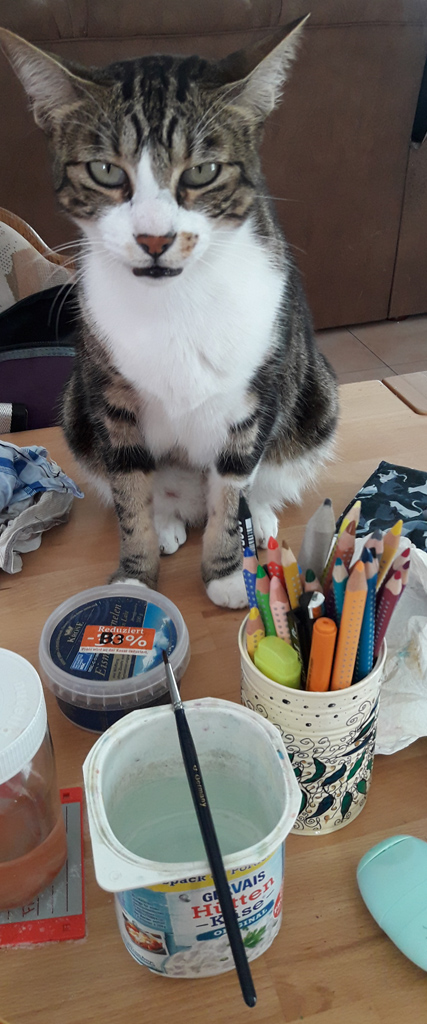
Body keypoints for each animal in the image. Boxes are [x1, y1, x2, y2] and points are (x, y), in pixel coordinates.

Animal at [0, 18, 338, 608]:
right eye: (105, 170)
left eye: (202, 171)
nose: (154, 238)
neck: (174, 298)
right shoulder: (110, 397)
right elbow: (129, 491)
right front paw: (135, 577)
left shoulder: (255, 394)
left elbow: (232, 486)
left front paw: (227, 573)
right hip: (76, 412)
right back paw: (167, 521)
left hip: (314, 401)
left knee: (264, 474)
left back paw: (260, 519)